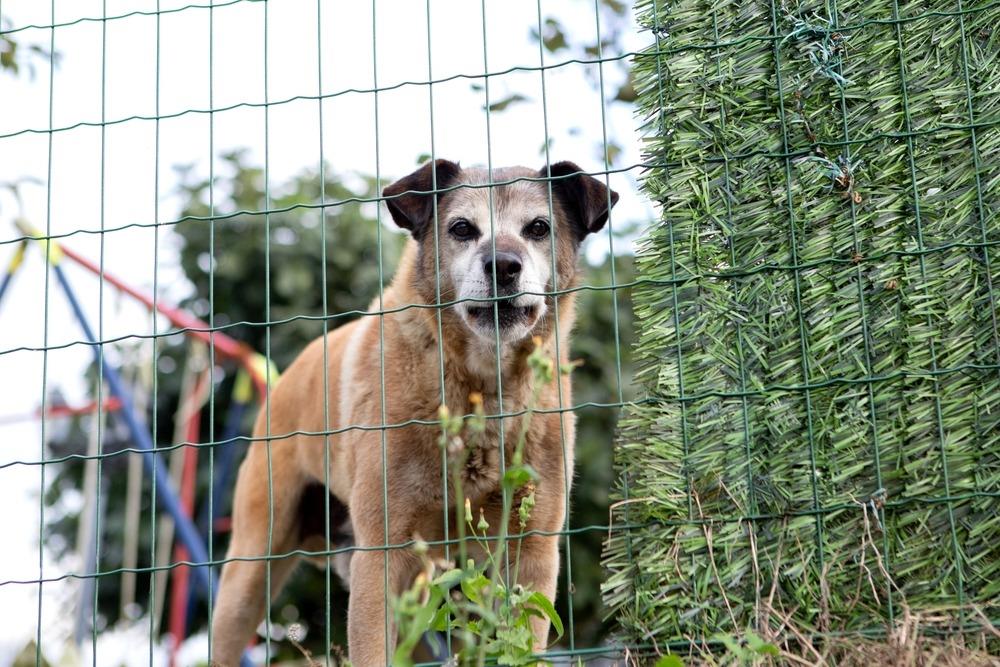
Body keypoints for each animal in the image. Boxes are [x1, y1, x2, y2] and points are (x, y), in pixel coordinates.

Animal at [211, 159, 616, 664]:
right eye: (461, 228)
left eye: (539, 228)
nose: (503, 265)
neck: (479, 395)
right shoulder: (383, 556)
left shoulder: (531, 554)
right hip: (253, 566)